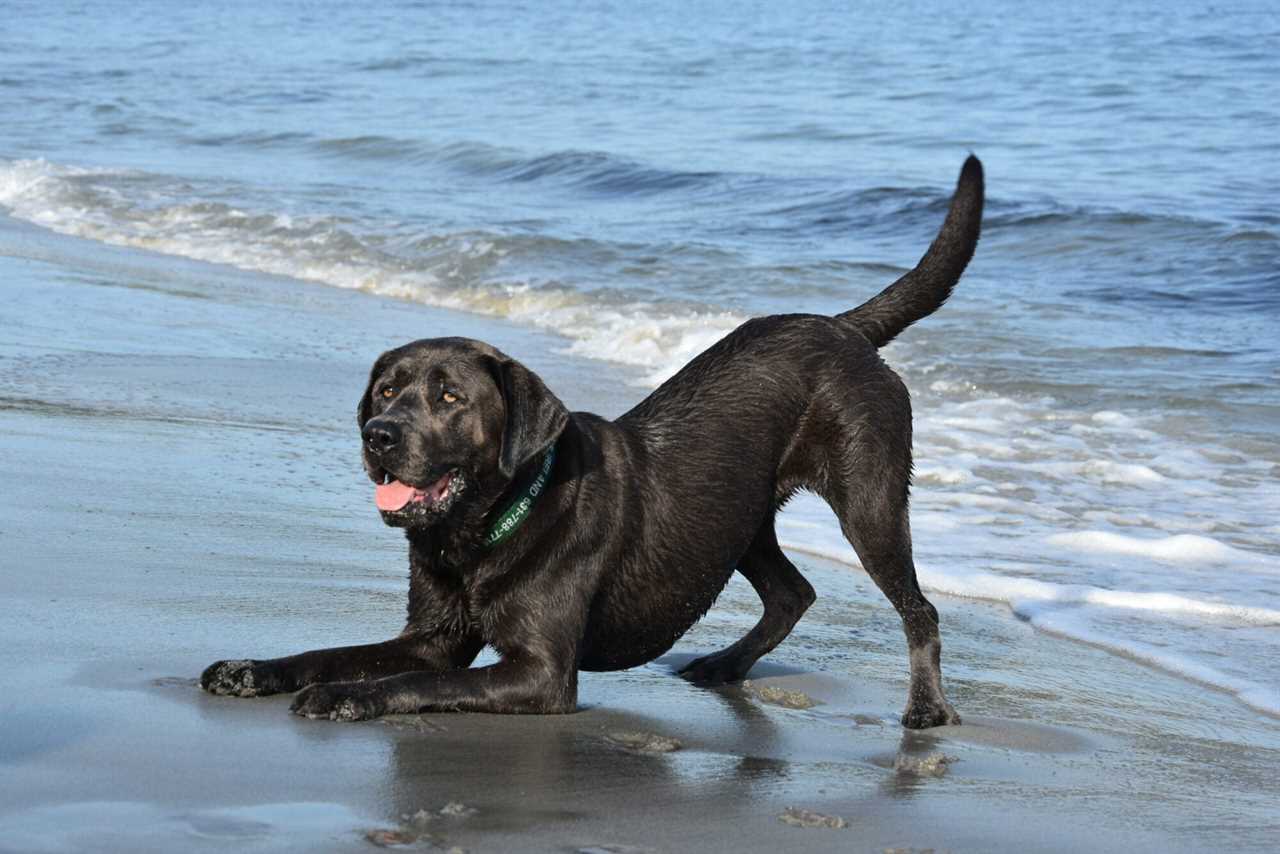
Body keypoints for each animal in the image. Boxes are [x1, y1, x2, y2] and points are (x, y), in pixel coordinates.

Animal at [199, 155, 983, 727]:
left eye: (450, 397)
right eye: (386, 390)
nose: (379, 436)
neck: (482, 530)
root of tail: (844, 328)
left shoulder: (542, 674)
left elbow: (400, 682)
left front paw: (344, 698)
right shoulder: (432, 639)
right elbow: (334, 652)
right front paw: (253, 669)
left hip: (869, 500)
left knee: (918, 609)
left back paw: (927, 709)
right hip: (737, 518)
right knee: (793, 591)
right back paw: (724, 666)